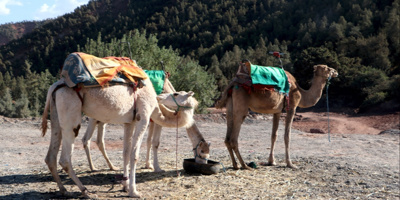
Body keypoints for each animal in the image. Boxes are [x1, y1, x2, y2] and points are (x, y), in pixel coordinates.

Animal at [41, 77, 198, 198]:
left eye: (176, 94)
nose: (159, 97)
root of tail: (55, 87)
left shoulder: (130, 122)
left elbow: (126, 153)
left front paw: (125, 186)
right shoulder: (143, 118)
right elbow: (134, 155)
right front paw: (134, 192)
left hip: (55, 115)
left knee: (51, 156)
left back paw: (64, 190)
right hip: (71, 114)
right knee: (65, 158)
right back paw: (85, 191)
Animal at [83, 78, 211, 172]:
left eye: (208, 155)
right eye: (202, 151)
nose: (203, 163)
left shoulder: (152, 121)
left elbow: (149, 141)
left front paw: (148, 165)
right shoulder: (156, 121)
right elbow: (155, 143)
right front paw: (157, 168)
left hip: (103, 119)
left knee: (98, 140)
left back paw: (111, 166)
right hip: (94, 116)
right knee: (87, 139)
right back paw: (93, 168)